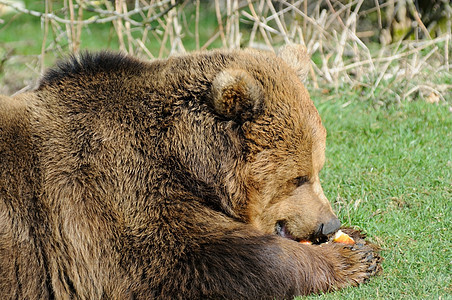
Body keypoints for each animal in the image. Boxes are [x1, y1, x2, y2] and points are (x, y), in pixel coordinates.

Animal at [0, 44, 380, 298]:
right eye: (297, 178)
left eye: (318, 169)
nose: (328, 223)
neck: (183, 162)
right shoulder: (110, 192)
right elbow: (190, 259)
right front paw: (350, 257)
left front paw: (358, 238)